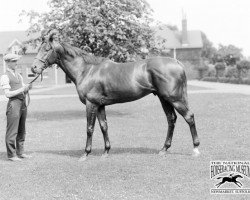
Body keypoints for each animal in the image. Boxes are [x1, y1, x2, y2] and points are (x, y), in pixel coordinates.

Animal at [31, 30, 200, 161]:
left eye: (47, 49)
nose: (34, 68)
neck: (87, 70)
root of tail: (177, 63)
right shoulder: (100, 105)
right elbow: (104, 126)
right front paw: (106, 152)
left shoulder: (91, 104)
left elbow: (90, 128)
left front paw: (85, 154)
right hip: (163, 98)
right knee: (171, 120)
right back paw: (164, 149)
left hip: (174, 98)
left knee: (189, 117)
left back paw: (195, 149)